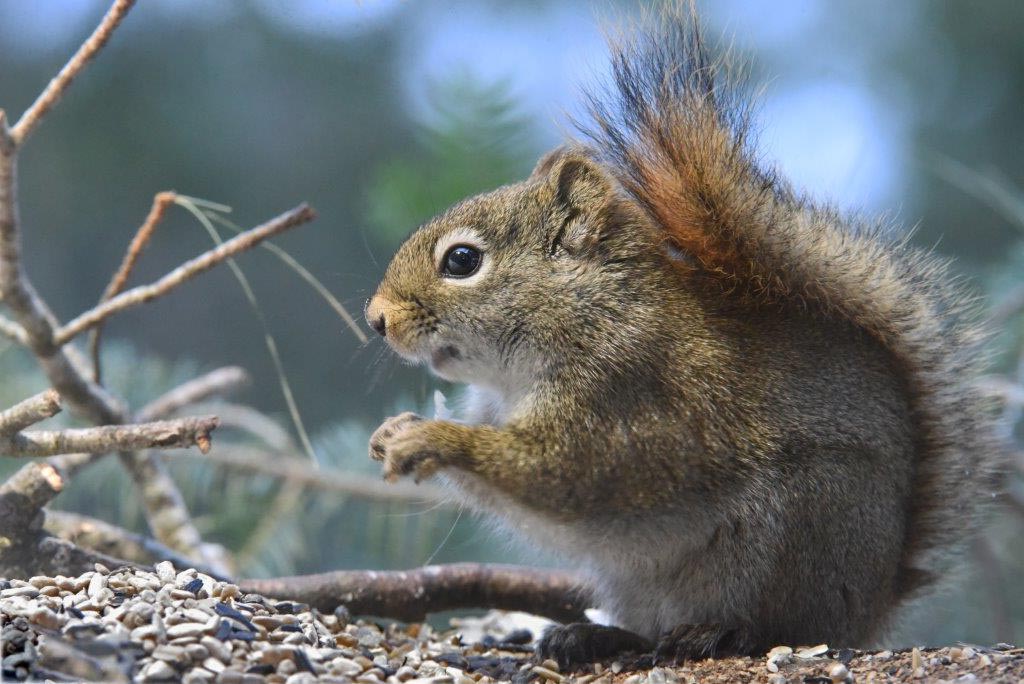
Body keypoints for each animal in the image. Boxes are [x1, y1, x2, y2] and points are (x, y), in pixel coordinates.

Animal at [364, 1, 1004, 669]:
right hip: (639, 581)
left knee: (783, 626)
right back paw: (597, 635)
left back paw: (717, 633)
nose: (376, 318)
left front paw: (430, 437)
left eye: (462, 261)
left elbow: (563, 471)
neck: (578, 316)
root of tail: (874, 604)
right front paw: (392, 432)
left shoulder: (623, 391)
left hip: (796, 533)